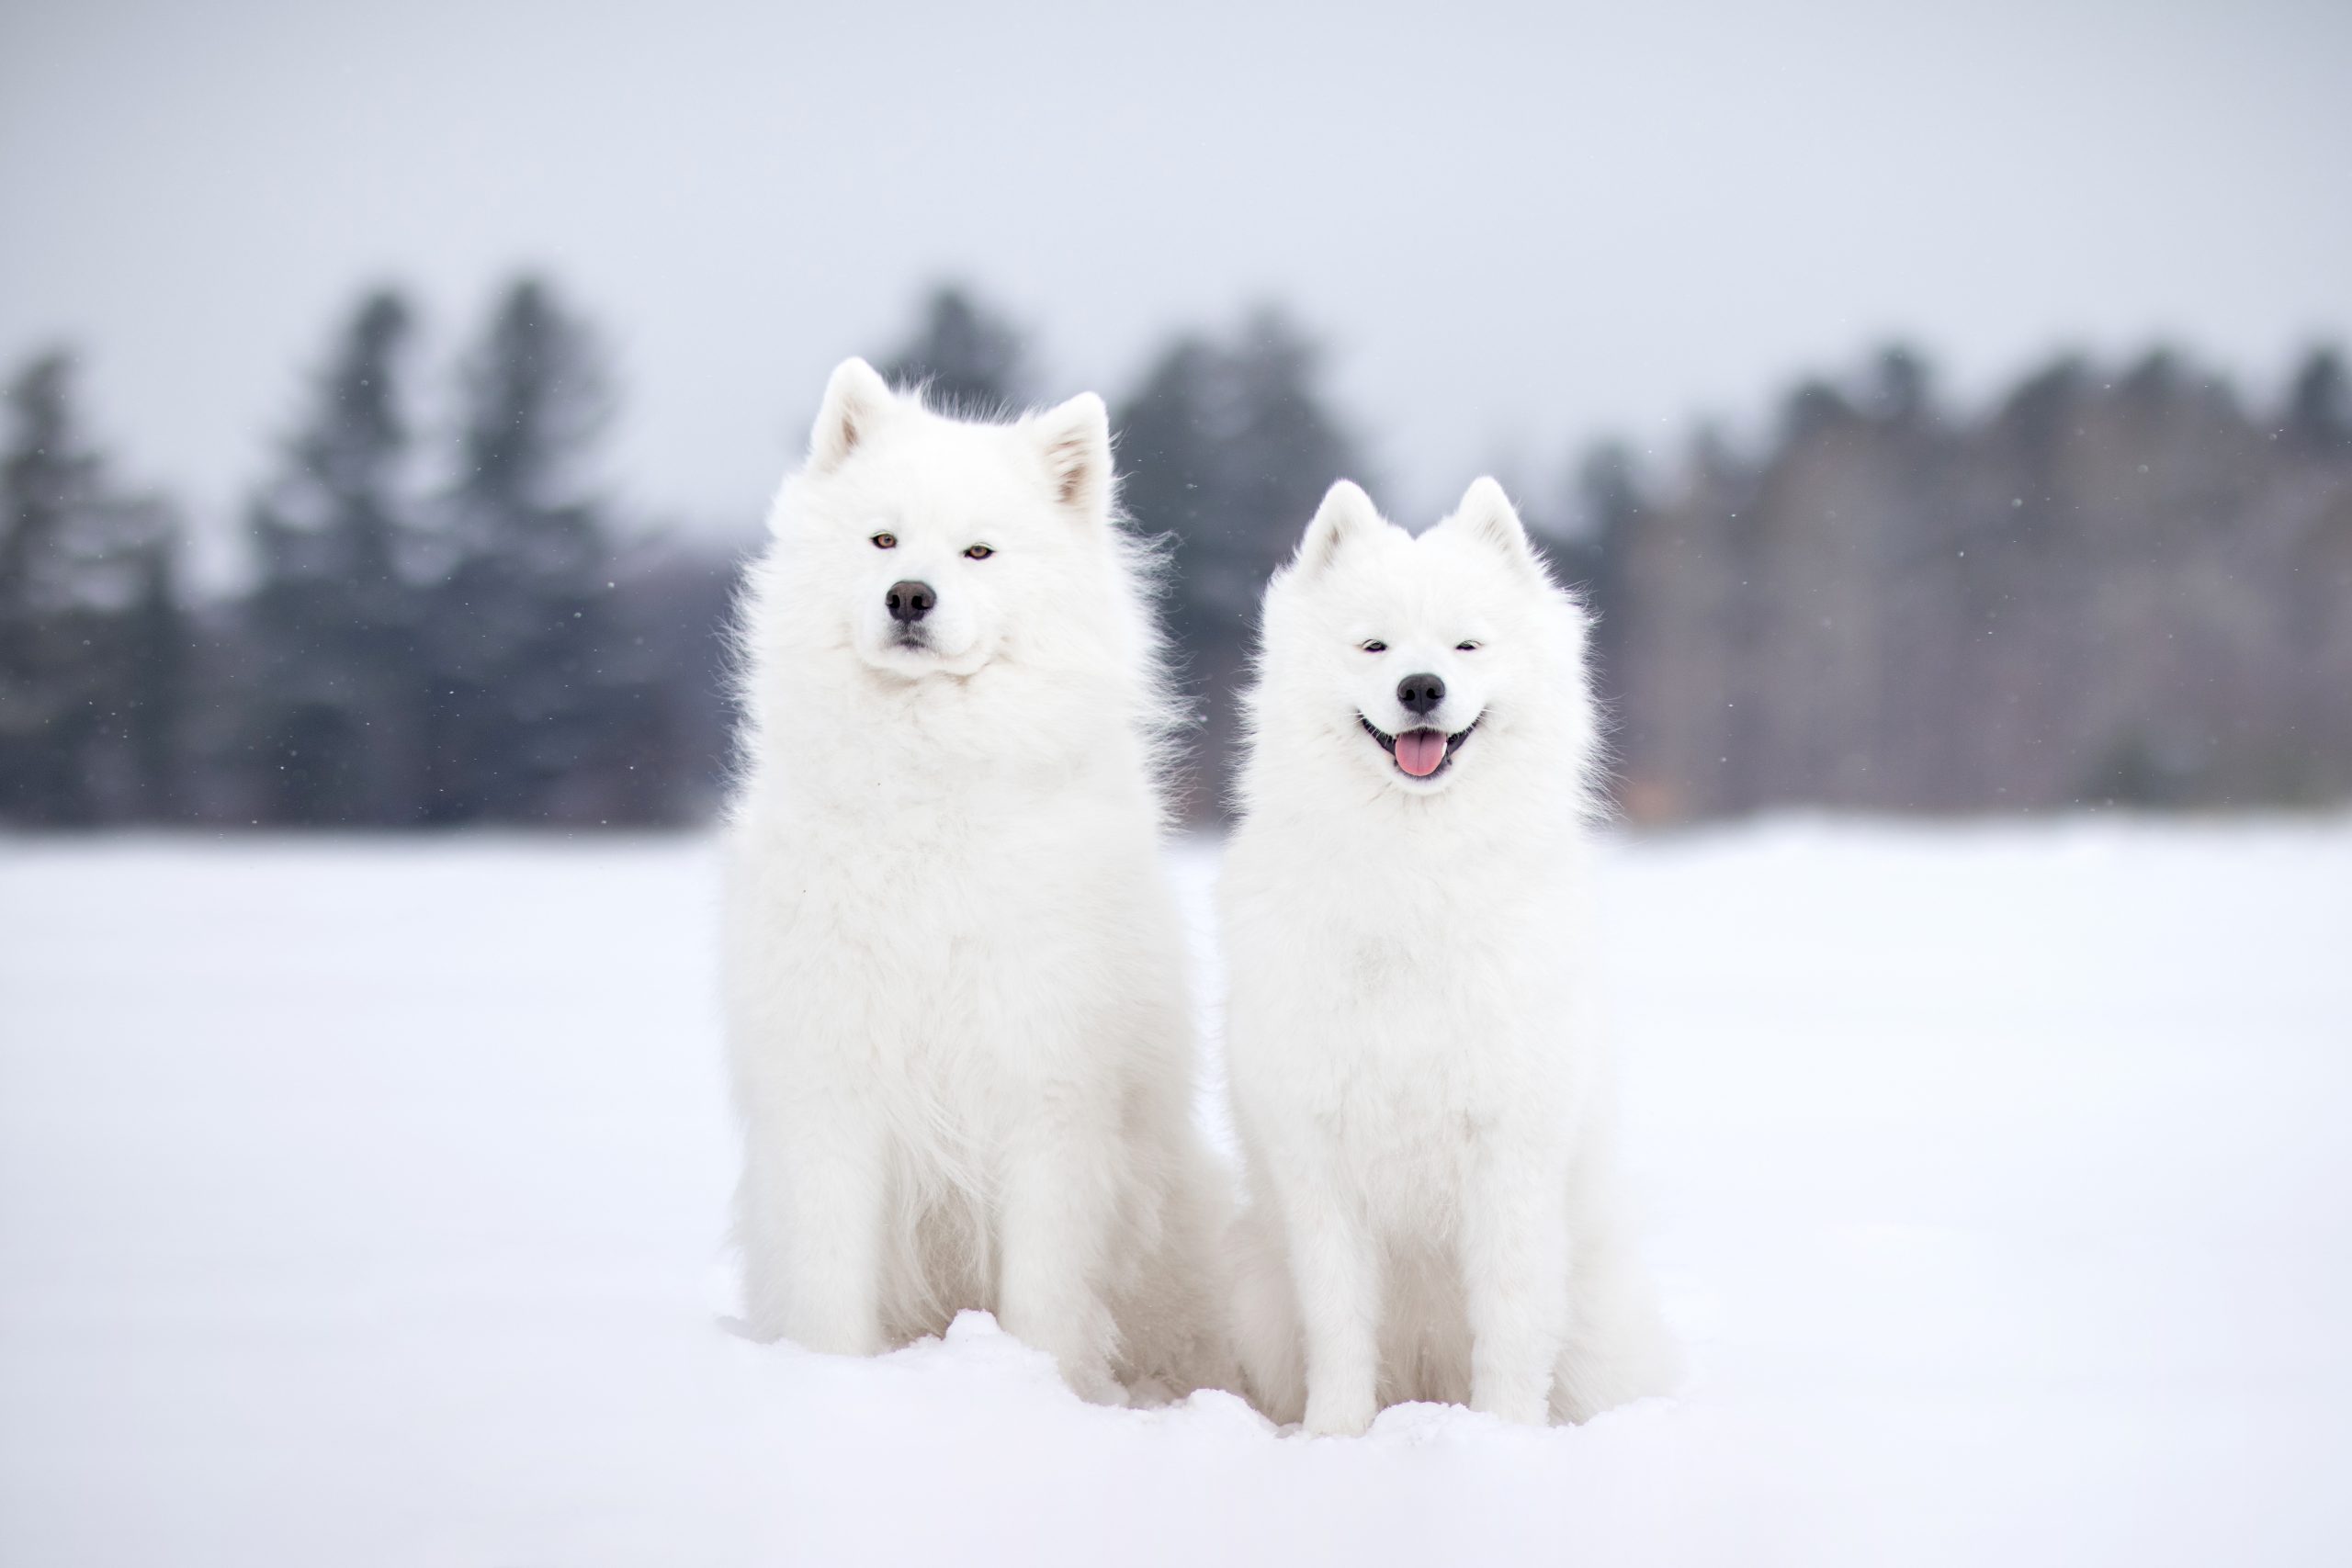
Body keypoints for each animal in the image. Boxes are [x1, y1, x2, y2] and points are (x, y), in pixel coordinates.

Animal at [1213, 474, 1674, 1438]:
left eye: (1467, 643)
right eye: (1375, 643)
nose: (1421, 686)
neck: (1414, 874)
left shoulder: (1510, 1152)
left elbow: (1510, 1320)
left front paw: (1502, 1439)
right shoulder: (1320, 1161)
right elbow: (1339, 1322)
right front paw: (1335, 1436)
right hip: (1254, 1294)